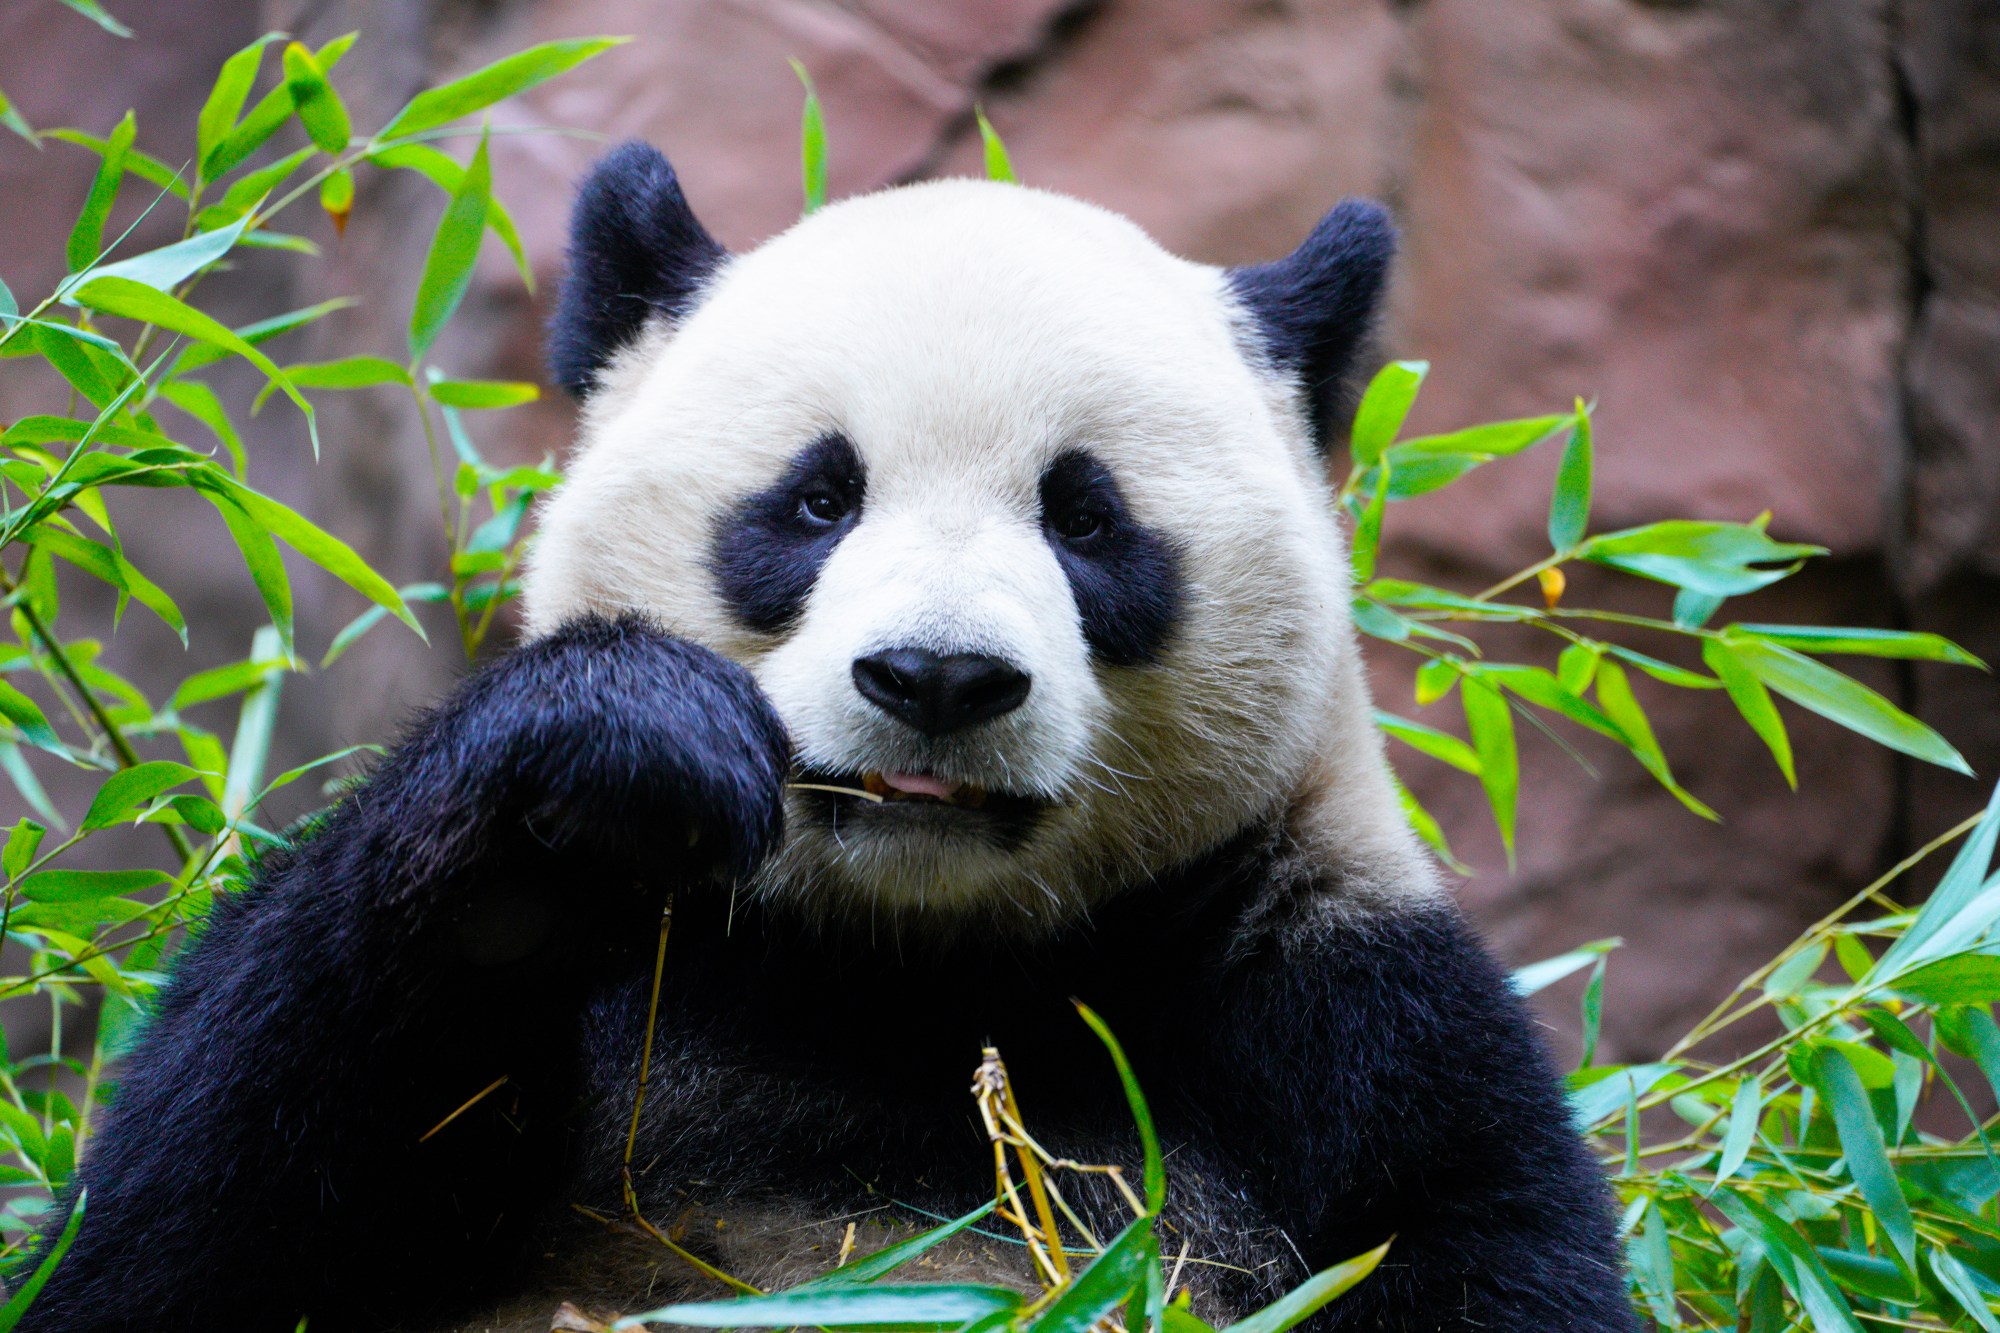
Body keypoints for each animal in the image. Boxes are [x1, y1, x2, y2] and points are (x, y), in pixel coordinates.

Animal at [23, 144, 1633, 1332]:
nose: (938, 676)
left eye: (1086, 517)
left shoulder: (1340, 1009)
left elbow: (1471, 1235)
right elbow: (185, 1227)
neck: (903, 967)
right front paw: (617, 744)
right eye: (815, 498)